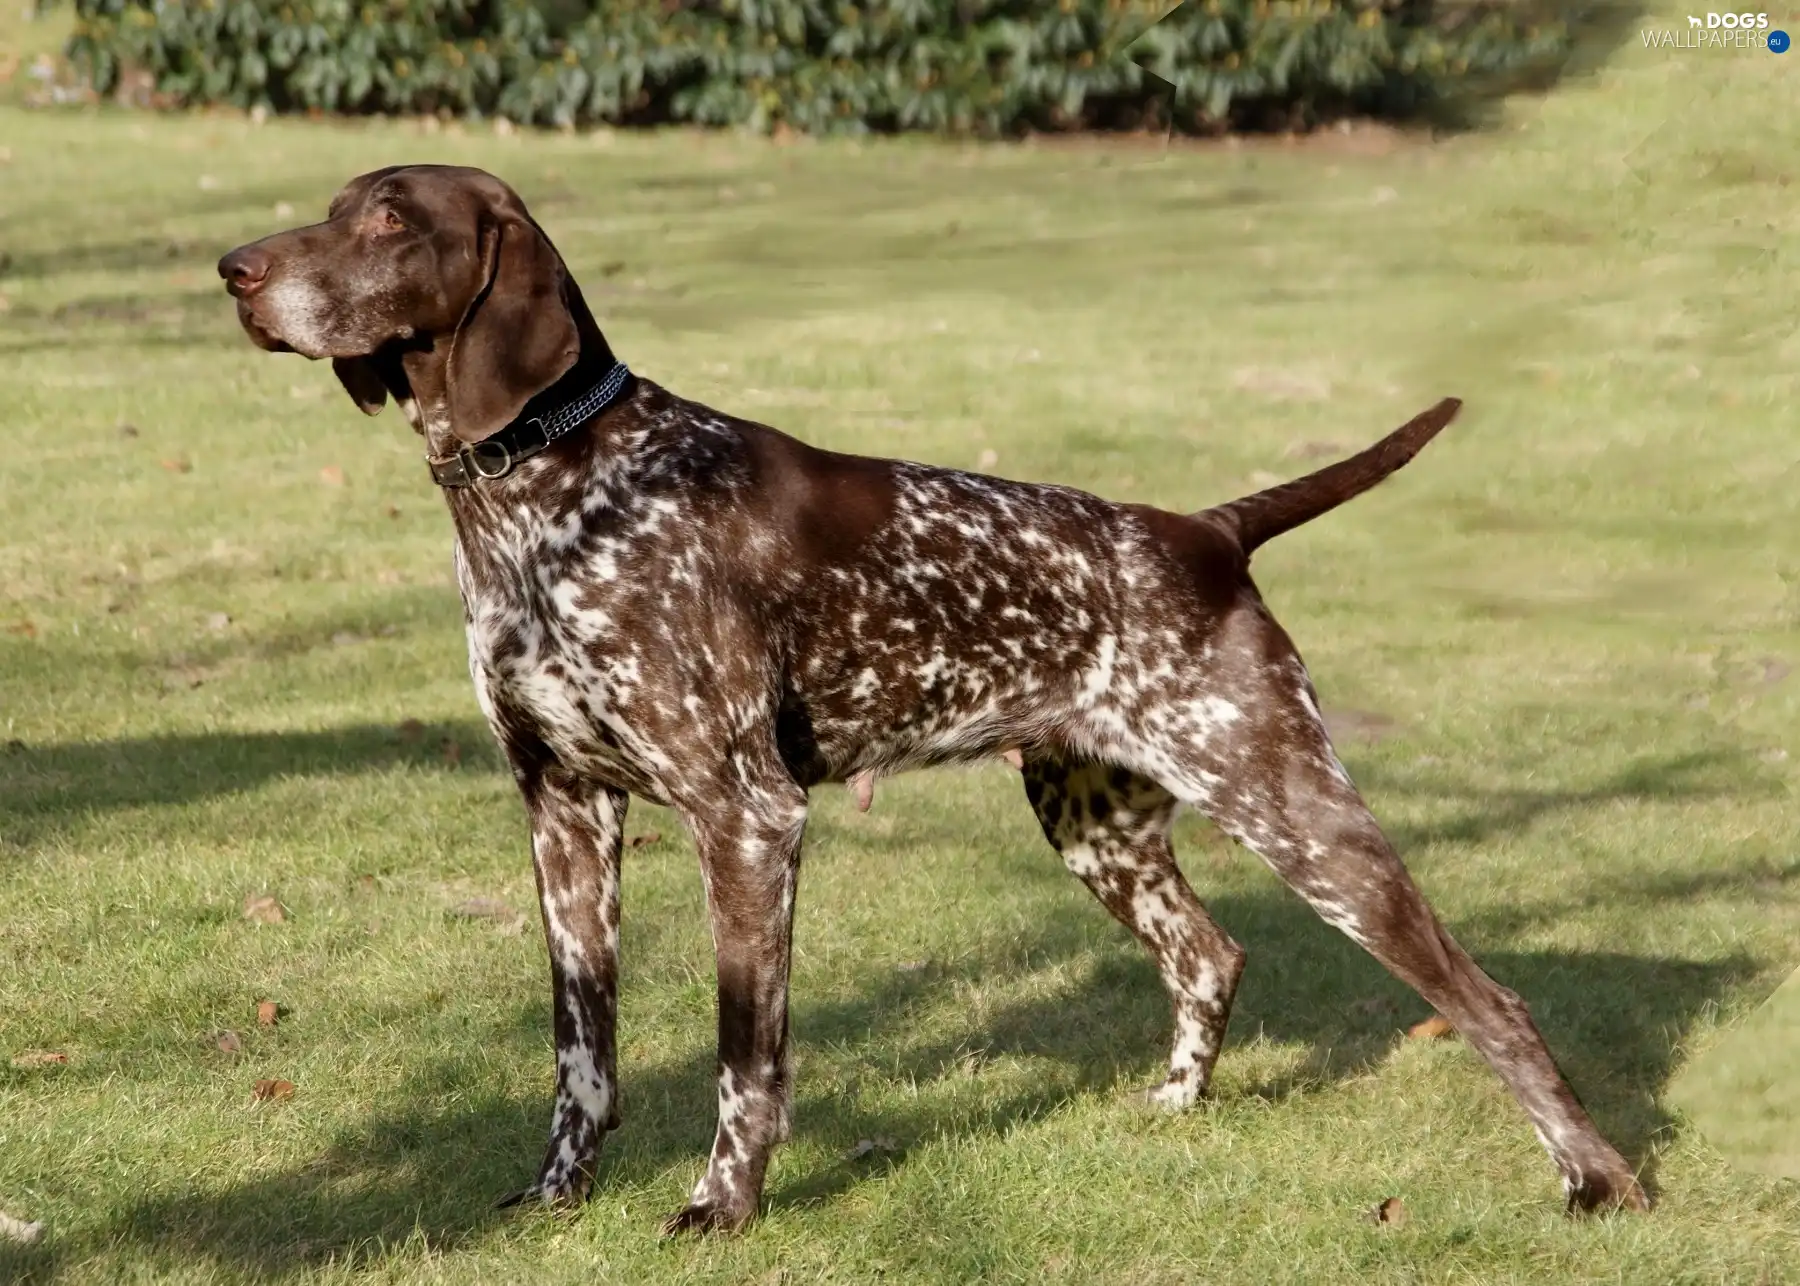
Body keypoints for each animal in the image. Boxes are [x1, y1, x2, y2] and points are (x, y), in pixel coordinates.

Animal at [217, 165, 1648, 1224]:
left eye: (390, 219)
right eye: (338, 206)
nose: (233, 268)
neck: (549, 490)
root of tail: (1201, 531)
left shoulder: (746, 817)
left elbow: (745, 1059)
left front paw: (723, 1206)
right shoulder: (562, 807)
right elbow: (584, 1049)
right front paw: (558, 1193)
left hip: (1297, 812)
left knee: (1489, 1002)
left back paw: (1599, 1178)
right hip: (1096, 823)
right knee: (1211, 952)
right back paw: (1174, 1108)